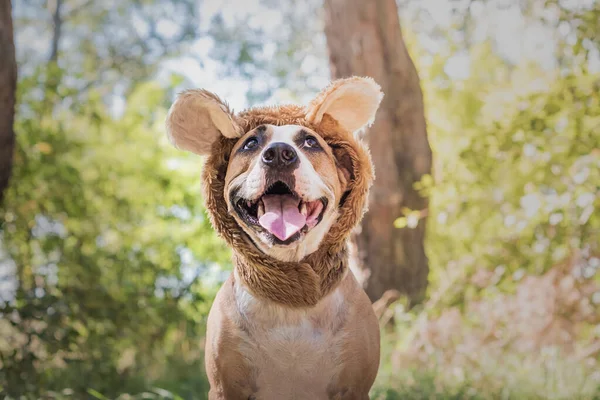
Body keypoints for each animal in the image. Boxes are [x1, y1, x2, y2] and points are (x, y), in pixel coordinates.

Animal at [166, 76, 382, 398]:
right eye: (251, 143)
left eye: (311, 142)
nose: (280, 153)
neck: (292, 298)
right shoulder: (224, 388)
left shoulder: (354, 388)